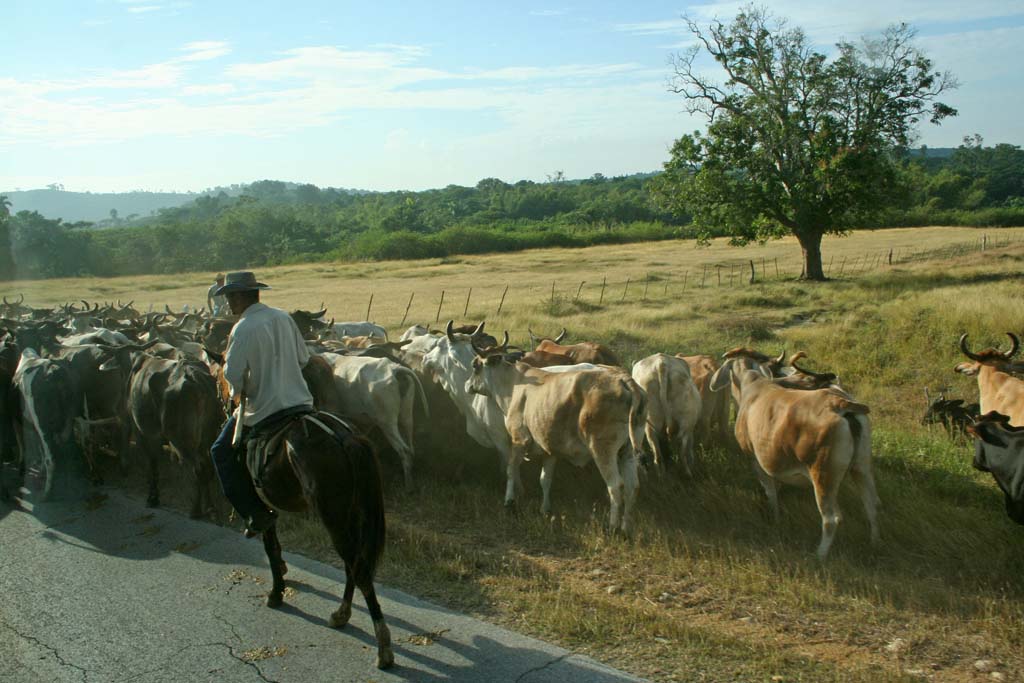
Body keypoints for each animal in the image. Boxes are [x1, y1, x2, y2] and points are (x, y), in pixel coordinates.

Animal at [466, 338, 645, 534]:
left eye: (475, 365)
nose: (467, 385)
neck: (514, 384)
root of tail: (623, 379)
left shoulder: (519, 440)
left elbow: (511, 470)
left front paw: (509, 502)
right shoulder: (549, 450)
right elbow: (545, 479)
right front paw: (545, 509)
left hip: (603, 450)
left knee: (615, 486)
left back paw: (613, 527)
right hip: (627, 452)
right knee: (632, 486)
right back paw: (626, 528)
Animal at [710, 358, 879, 560]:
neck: (752, 385)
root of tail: (841, 404)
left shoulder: (756, 460)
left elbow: (770, 491)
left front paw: (775, 518)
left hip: (822, 475)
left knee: (831, 519)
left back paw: (819, 555)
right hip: (862, 468)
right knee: (871, 506)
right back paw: (874, 543)